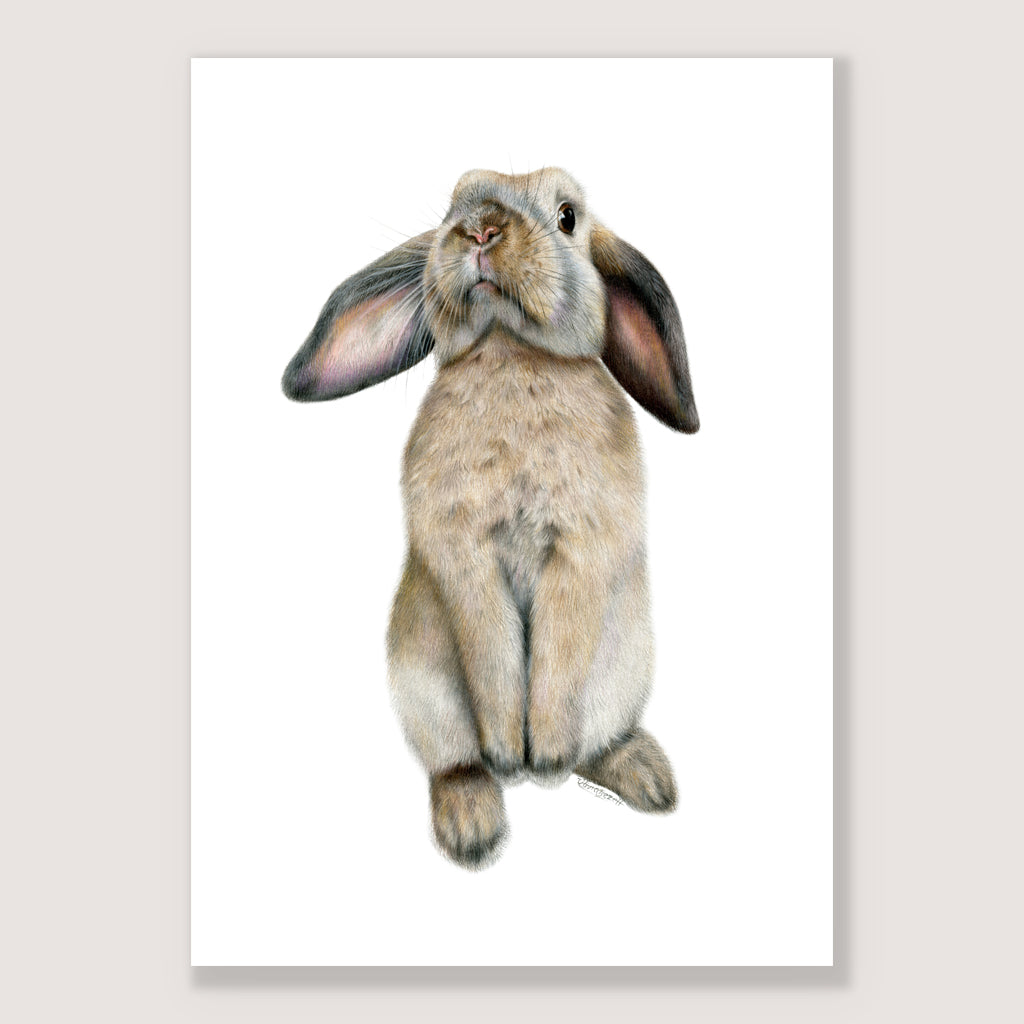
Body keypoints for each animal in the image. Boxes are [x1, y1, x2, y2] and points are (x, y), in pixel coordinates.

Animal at [282, 168, 699, 868]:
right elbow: (494, 649)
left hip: (621, 673)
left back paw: (643, 777)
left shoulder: (582, 548)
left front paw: (545, 754)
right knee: (453, 762)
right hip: (425, 692)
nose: (480, 228)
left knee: (596, 743)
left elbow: (558, 644)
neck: (510, 352)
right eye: (454, 201)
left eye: (567, 217)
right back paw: (472, 822)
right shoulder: (462, 554)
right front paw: (510, 753)